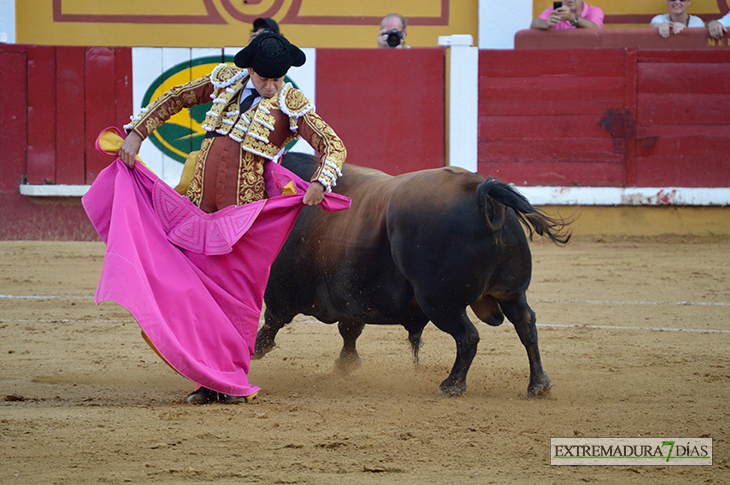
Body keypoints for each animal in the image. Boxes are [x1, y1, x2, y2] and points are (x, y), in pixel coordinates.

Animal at [255, 153, 568, 396]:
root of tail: (482, 190)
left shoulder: (283, 291)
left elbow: (272, 322)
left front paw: (256, 352)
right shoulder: (350, 294)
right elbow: (350, 329)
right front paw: (346, 364)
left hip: (440, 301)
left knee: (468, 336)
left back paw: (452, 385)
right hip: (511, 292)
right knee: (526, 324)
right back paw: (539, 385)